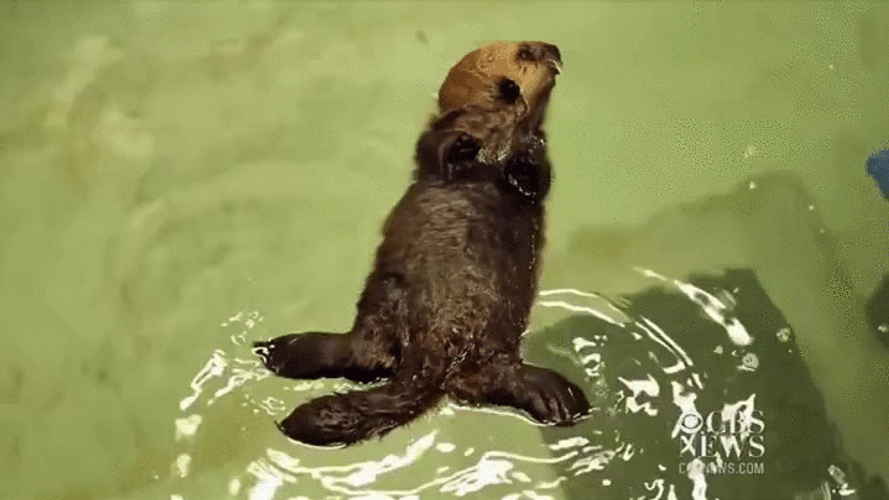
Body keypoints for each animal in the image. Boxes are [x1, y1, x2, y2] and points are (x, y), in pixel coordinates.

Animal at [254, 41, 590, 446]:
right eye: (527, 51)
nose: (554, 50)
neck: (496, 136)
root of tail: (431, 362)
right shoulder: (436, 135)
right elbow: (435, 150)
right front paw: (465, 142)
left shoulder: (538, 149)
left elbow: (537, 177)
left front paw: (519, 157)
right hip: (385, 299)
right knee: (364, 354)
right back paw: (282, 350)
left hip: (484, 349)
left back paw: (562, 400)